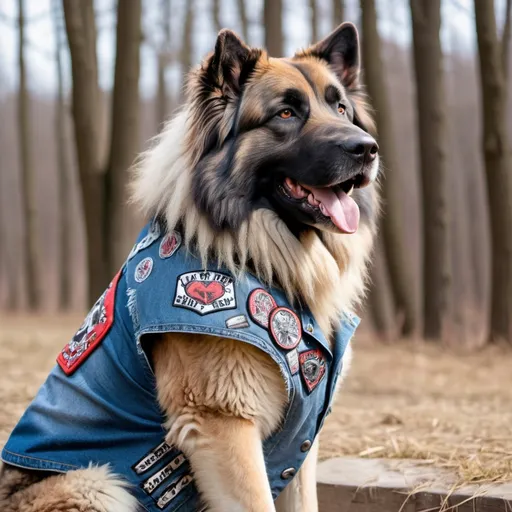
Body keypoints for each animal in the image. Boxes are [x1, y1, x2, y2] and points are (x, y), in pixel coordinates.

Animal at [0, 23, 376, 512]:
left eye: (341, 108)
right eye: (287, 113)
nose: (367, 149)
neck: (257, 255)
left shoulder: (300, 444)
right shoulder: (224, 422)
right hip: (99, 484)